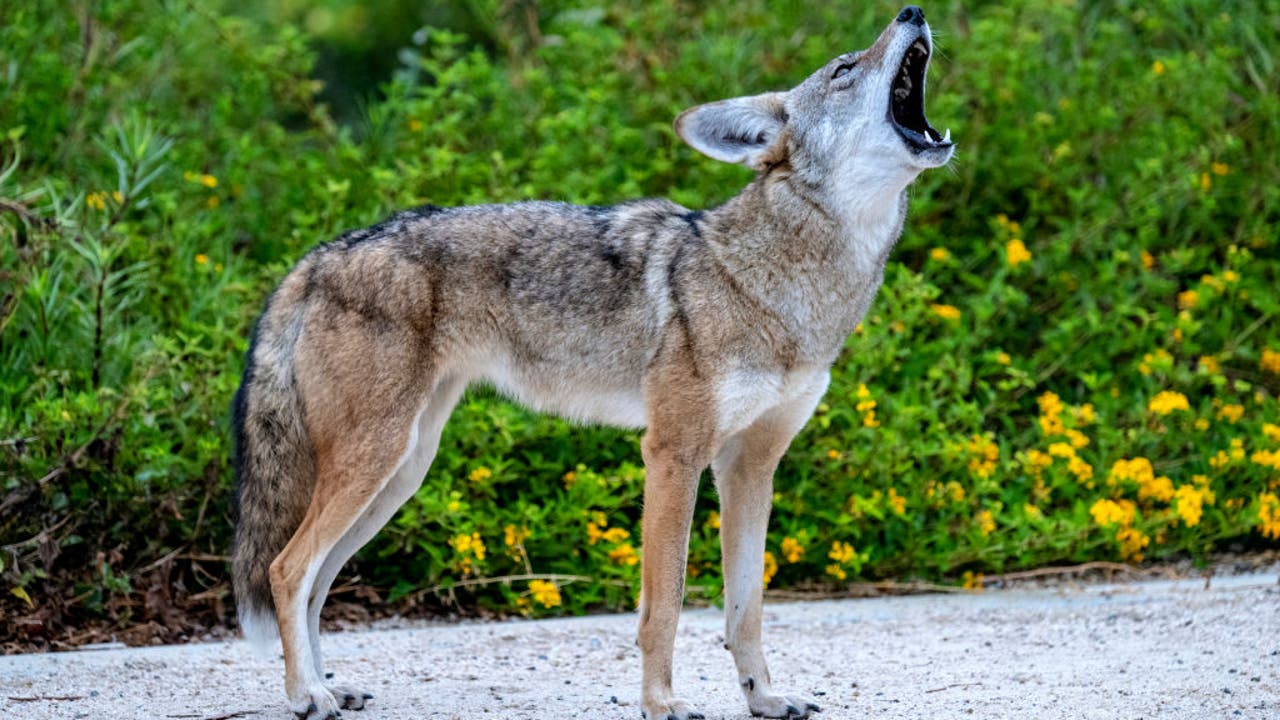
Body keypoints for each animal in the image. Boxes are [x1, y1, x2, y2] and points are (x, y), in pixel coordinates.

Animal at [231, 6, 953, 719]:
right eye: (843, 69)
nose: (913, 11)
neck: (782, 288)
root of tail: (318, 256)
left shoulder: (750, 466)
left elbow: (745, 610)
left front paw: (765, 698)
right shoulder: (672, 454)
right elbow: (664, 607)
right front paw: (662, 703)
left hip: (399, 474)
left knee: (315, 582)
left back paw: (330, 687)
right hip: (377, 464)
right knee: (285, 570)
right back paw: (307, 695)